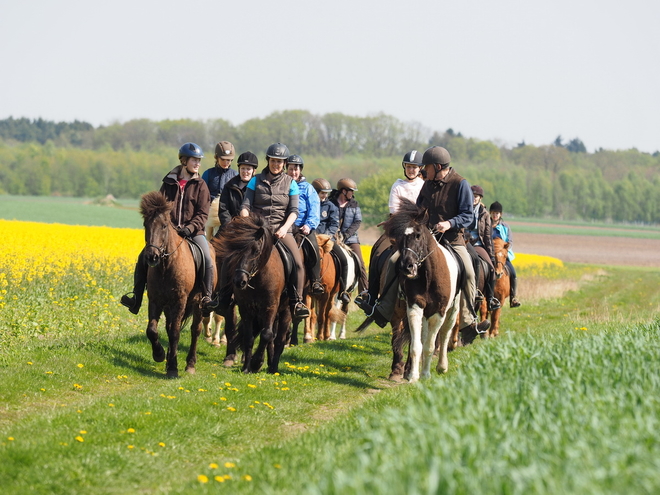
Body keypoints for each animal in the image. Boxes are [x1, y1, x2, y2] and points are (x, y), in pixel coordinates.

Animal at [139, 192, 217, 378]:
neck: (166, 265)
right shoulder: (156, 300)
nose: (152, 256)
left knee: (195, 330)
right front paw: (160, 355)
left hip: (197, 304)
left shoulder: (180, 301)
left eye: (164, 226)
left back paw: (190, 364)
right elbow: (152, 330)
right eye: (146, 224)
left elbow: (175, 332)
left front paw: (173, 368)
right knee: (169, 327)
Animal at [213, 215, 290, 374]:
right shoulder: (245, 308)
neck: (258, 279)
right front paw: (246, 367)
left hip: (286, 311)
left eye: (256, 251)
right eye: (235, 250)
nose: (239, 281)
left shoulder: (270, 307)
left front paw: (256, 363)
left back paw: (273, 367)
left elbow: (266, 334)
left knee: (279, 338)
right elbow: (249, 337)